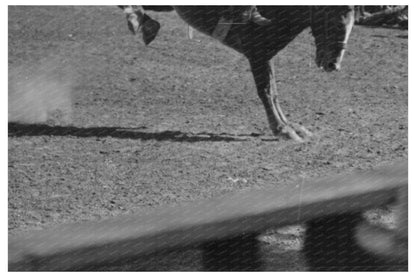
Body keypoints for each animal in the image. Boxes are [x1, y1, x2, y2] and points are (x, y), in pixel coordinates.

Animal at [121, 5, 354, 141]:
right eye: (335, 21)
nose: (333, 65)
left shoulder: (266, 55)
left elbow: (273, 91)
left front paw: (291, 126)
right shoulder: (257, 53)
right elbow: (266, 90)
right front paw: (281, 129)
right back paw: (138, 20)